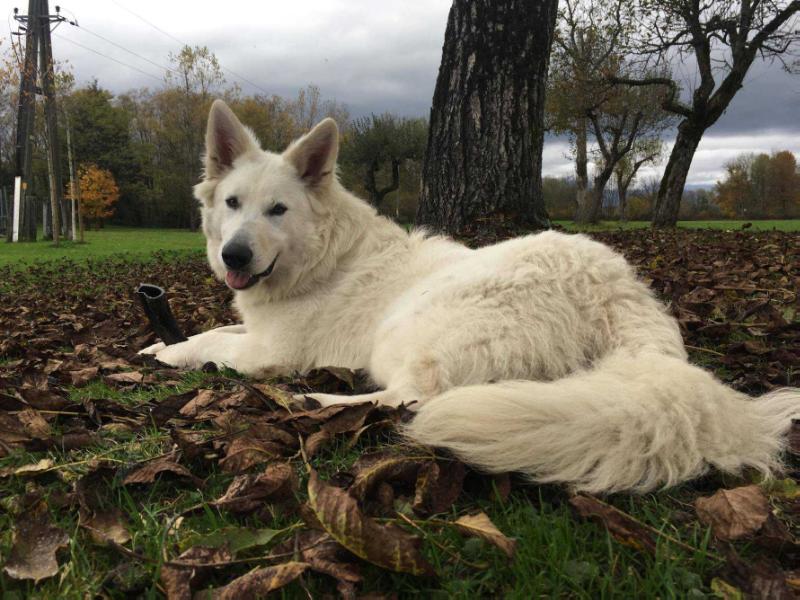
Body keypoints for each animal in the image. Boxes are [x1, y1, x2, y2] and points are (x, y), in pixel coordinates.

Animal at [144, 98, 800, 492]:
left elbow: (210, 346)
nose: (235, 256)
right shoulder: (252, 328)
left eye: (278, 210)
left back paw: (315, 401)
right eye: (233, 204)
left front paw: (166, 353)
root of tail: (614, 293)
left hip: (408, 331)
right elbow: (214, 329)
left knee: (407, 400)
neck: (322, 258)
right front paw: (159, 345)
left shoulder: (269, 351)